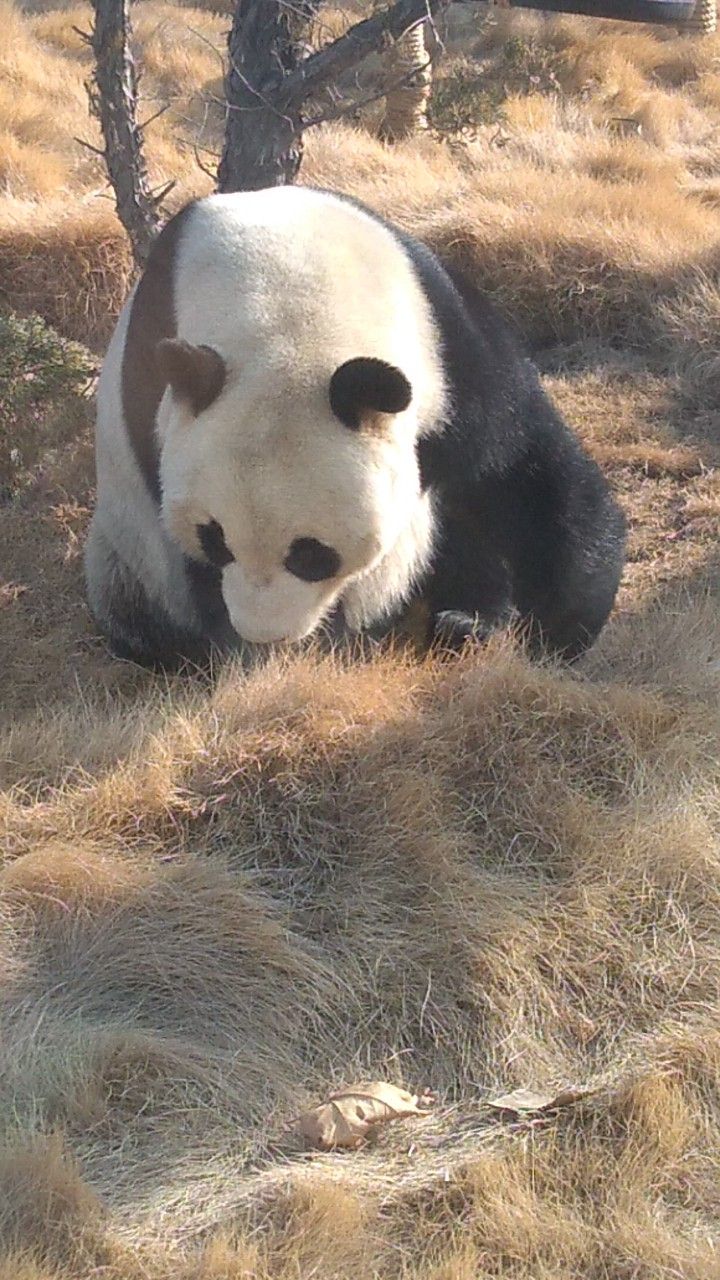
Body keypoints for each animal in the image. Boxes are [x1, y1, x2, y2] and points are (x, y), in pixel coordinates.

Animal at [82, 186, 622, 675]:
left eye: (311, 554)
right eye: (215, 539)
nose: (266, 632)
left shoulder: (447, 346)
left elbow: (521, 470)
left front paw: (557, 634)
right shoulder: (153, 412)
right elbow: (184, 556)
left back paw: (464, 621)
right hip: (126, 557)